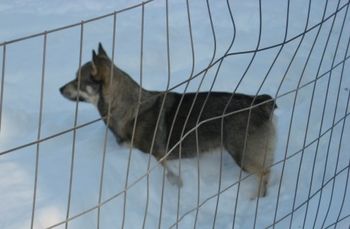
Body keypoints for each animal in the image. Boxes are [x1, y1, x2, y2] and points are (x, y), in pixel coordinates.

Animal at [59, 43, 276, 197]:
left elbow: (170, 175)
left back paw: (258, 199)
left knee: (265, 174)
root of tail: (260, 102)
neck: (130, 108)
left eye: (77, 80)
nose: (59, 89)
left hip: (244, 157)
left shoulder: (157, 157)